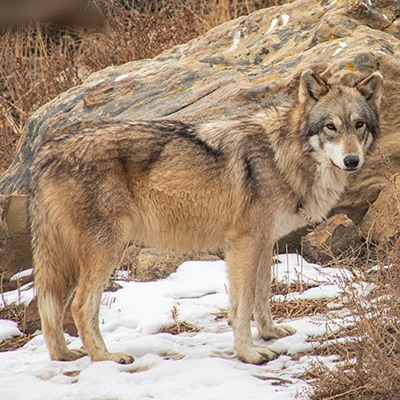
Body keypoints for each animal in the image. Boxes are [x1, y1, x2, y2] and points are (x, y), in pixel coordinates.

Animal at [29, 69, 382, 366]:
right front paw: (249, 353)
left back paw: (64, 356)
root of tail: (47, 153)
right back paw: (106, 358)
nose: (352, 161)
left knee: (50, 306)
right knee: (79, 306)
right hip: (105, 251)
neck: (282, 154)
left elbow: (262, 294)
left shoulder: (265, 242)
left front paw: (269, 333)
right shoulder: (244, 243)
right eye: (330, 126)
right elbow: (241, 305)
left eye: (359, 125)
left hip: (70, 258)